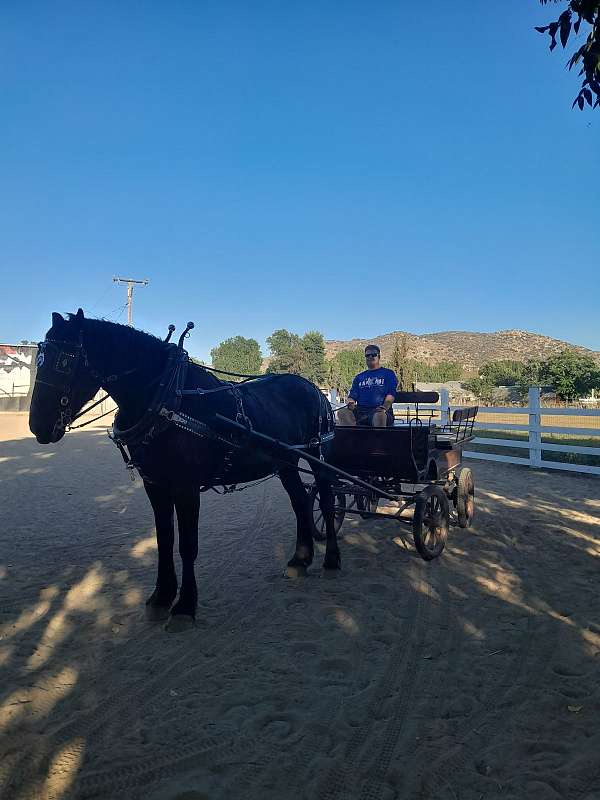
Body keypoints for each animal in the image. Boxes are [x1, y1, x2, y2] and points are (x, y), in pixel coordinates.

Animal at [29, 310, 338, 628]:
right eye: (40, 359)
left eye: (65, 362)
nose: (37, 426)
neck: (166, 399)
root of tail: (313, 388)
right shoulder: (155, 484)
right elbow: (164, 539)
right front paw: (161, 597)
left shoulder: (186, 487)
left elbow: (187, 544)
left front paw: (185, 606)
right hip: (286, 464)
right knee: (300, 501)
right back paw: (300, 559)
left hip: (319, 455)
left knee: (327, 502)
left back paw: (331, 561)